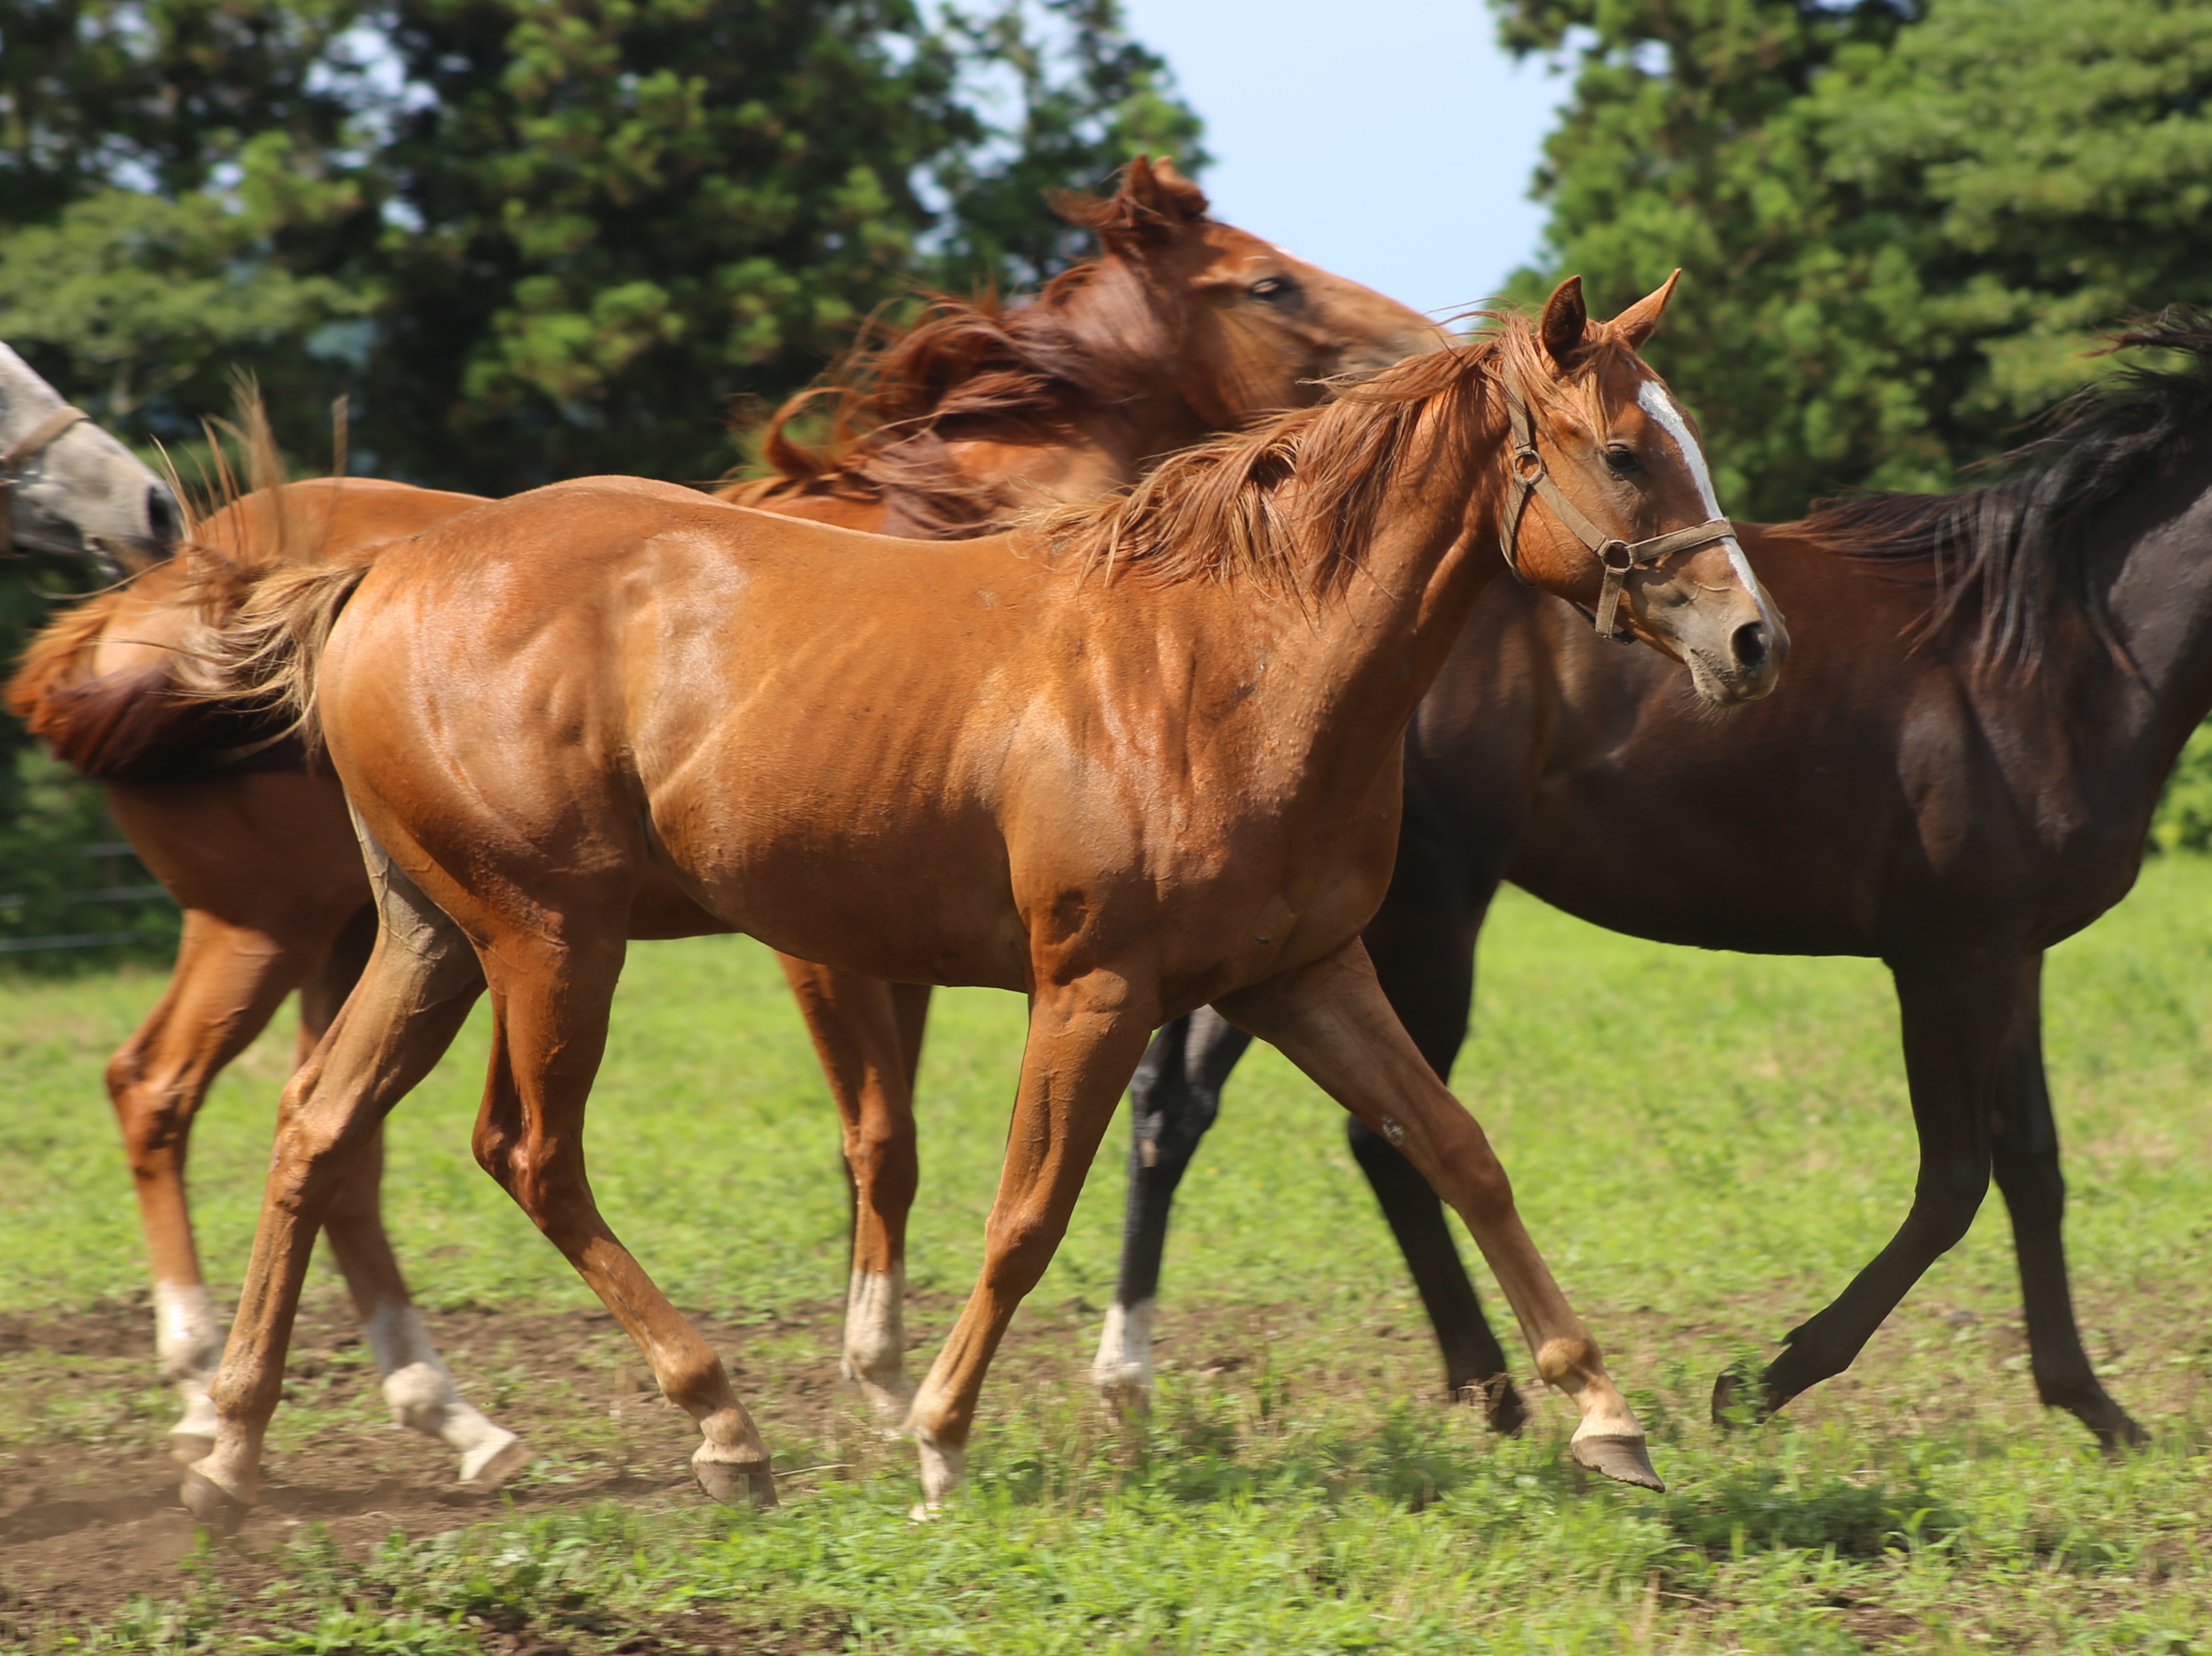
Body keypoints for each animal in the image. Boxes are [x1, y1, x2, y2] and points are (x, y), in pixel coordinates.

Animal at [8, 155, 1442, 1476]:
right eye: (1266, 283)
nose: (1419, 343)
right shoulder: (825, 948)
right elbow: (884, 1138)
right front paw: (884, 1386)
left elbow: (893, 1145)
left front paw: (891, 1378)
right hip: (333, 928)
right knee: (184, 1093)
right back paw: (239, 1380)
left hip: (396, 937)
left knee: (325, 1130)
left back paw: (416, 1416)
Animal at [177, 274, 1778, 1521]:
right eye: (1624, 451)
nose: (1753, 642)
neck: (1230, 662)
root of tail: (382, 570)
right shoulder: (1095, 988)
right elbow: (1027, 1209)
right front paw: (939, 1437)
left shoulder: (1306, 974)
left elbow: (1459, 1152)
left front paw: (1606, 1417)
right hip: (550, 938)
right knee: (527, 1152)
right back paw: (719, 1425)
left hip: (433, 938)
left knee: (317, 1128)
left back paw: (235, 1445)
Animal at [1083, 309, 2212, 1450]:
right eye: (1627, 456)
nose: (1755, 646)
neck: (2046, 656)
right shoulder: (1951, 957)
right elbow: (1954, 1183)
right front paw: (1757, 1383)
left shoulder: (2010, 954)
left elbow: (2032, 1167)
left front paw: (2095, 1408)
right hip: (1422, 926)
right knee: (1380, 1137)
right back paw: (1491, 1389)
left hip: (1294, 939)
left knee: (1177, 1108)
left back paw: (1135, 1375)